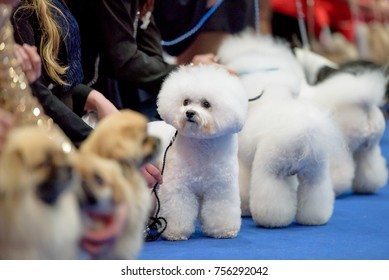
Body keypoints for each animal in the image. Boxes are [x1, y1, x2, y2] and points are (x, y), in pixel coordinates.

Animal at [147, 64, 247, 241]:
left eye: (206, 104)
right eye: (185, 101)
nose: (189, 113)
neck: (202, 145)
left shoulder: (221, 187)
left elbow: (220, 208)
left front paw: (223, 230)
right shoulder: (179, 186)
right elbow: (178, 208)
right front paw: (175, 232)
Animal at [217, 31, 342, 228]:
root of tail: (303, 133)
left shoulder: (244, 162)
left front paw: (244, 209)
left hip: (271, 170)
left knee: (272, 198)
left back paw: (272, 221)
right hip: (316, 172)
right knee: (315, 194)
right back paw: (314, 219)